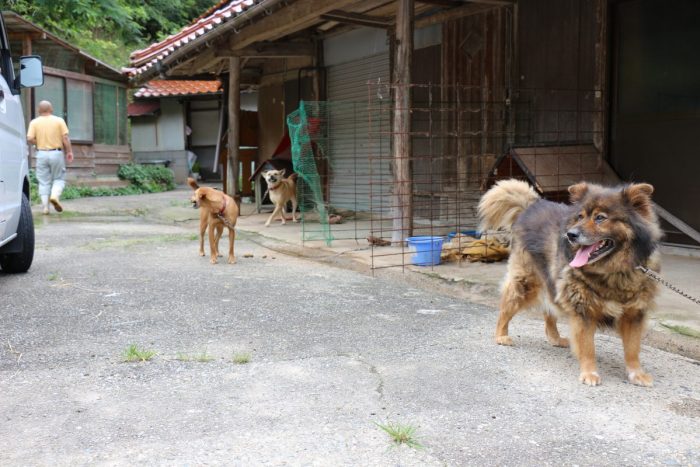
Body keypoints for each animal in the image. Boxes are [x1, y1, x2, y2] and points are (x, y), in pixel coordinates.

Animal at [478, 180, 664, 388]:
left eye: (600, 218)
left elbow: (632, 349)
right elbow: (588, 347)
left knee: (549, 311)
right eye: (580, 216)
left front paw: (636, 373)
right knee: (506, 310)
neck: (612, 271)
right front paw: (589, 373)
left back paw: (555, 338)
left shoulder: (634, 314)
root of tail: (532, 205)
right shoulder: (584, 311)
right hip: (525, 283)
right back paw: (501, 335)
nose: (570, 234)